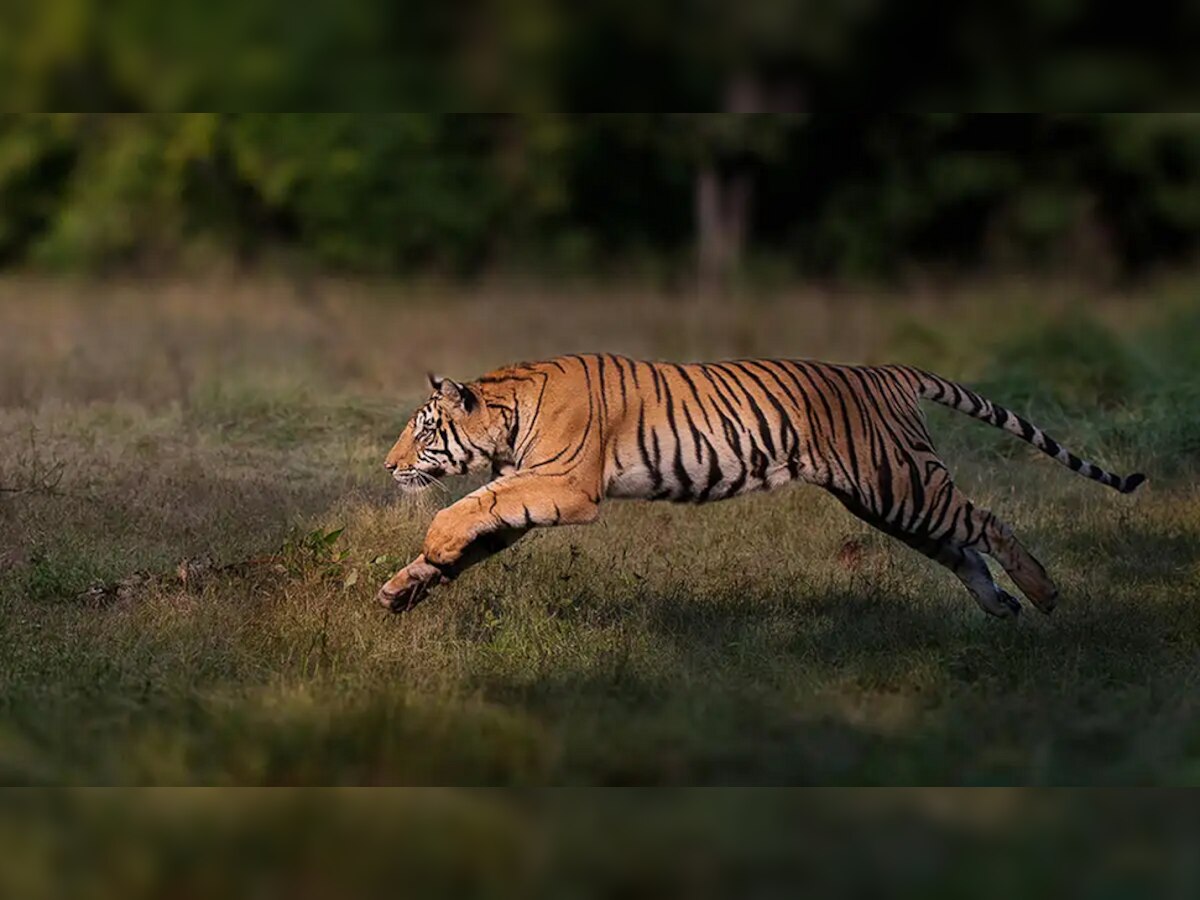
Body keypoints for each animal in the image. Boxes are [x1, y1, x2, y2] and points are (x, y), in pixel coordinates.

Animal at [379, 355, 1147, 619]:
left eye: (423, 432)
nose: (387, 466)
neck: (507, 414)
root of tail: (890, 372)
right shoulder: (530, 489)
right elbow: (476, 526)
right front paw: (405, 586)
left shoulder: (564, 486)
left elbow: (468, 506)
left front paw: (432, 545)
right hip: (889, 501)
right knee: (961, 548)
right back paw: (1000, 607)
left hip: (901, 485)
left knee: (988, 523)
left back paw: (1043, 595)